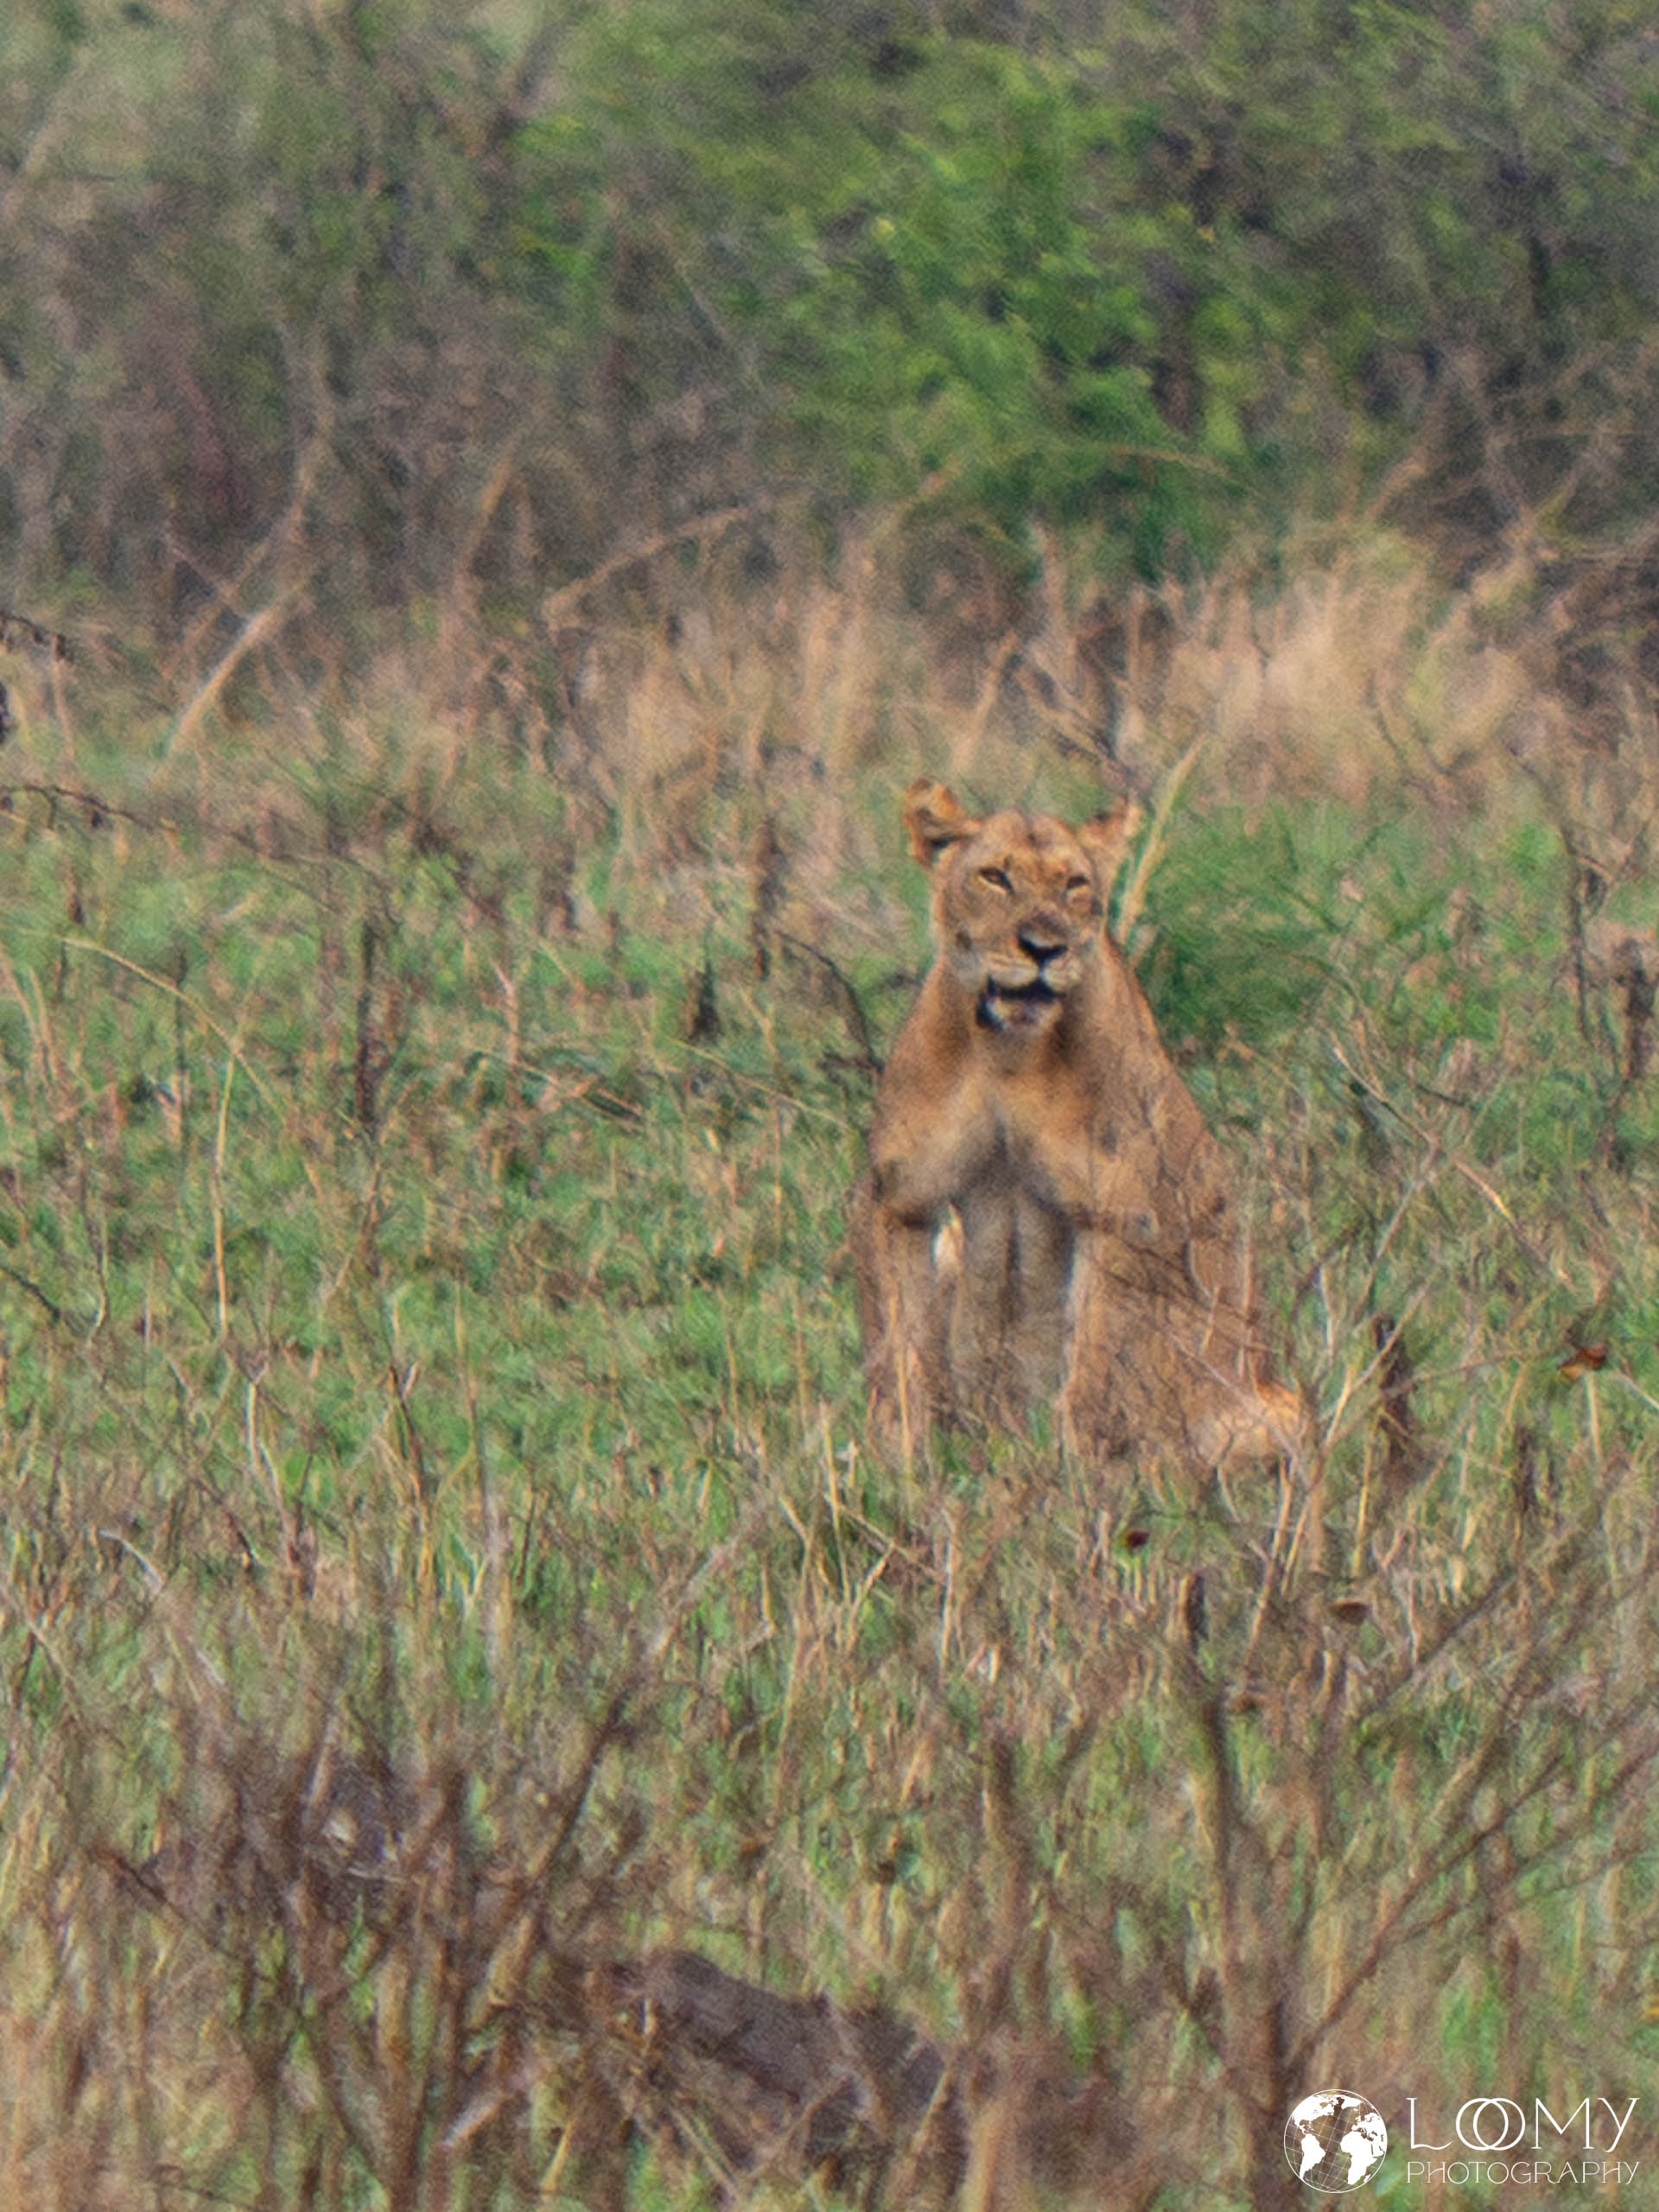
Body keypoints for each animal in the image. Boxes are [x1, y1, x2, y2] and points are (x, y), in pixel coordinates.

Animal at [851, 780, 1299, 1473]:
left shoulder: (1122, 1217)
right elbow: (899, 1350)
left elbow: (1091, 1376)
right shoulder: (901, 1199)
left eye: (1075, 885)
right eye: (995, 876)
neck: (1006, 1052)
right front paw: (897, 1466)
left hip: (1278, 1409)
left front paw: (1076, 1482)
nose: (1044, 948)